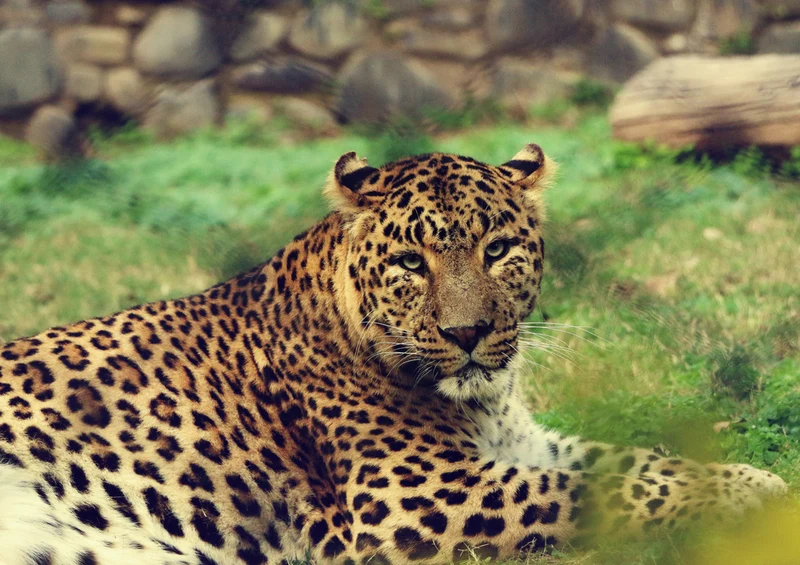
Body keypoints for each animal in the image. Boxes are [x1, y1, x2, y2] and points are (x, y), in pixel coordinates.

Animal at [0, 143, 787, 565]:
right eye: (412, 262)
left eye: (497, 249)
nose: (468, 333)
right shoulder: (409, 498)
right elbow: (593, 492)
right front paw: (752, 497)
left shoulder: (524, 443)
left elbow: (634, 462)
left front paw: (751, 477)